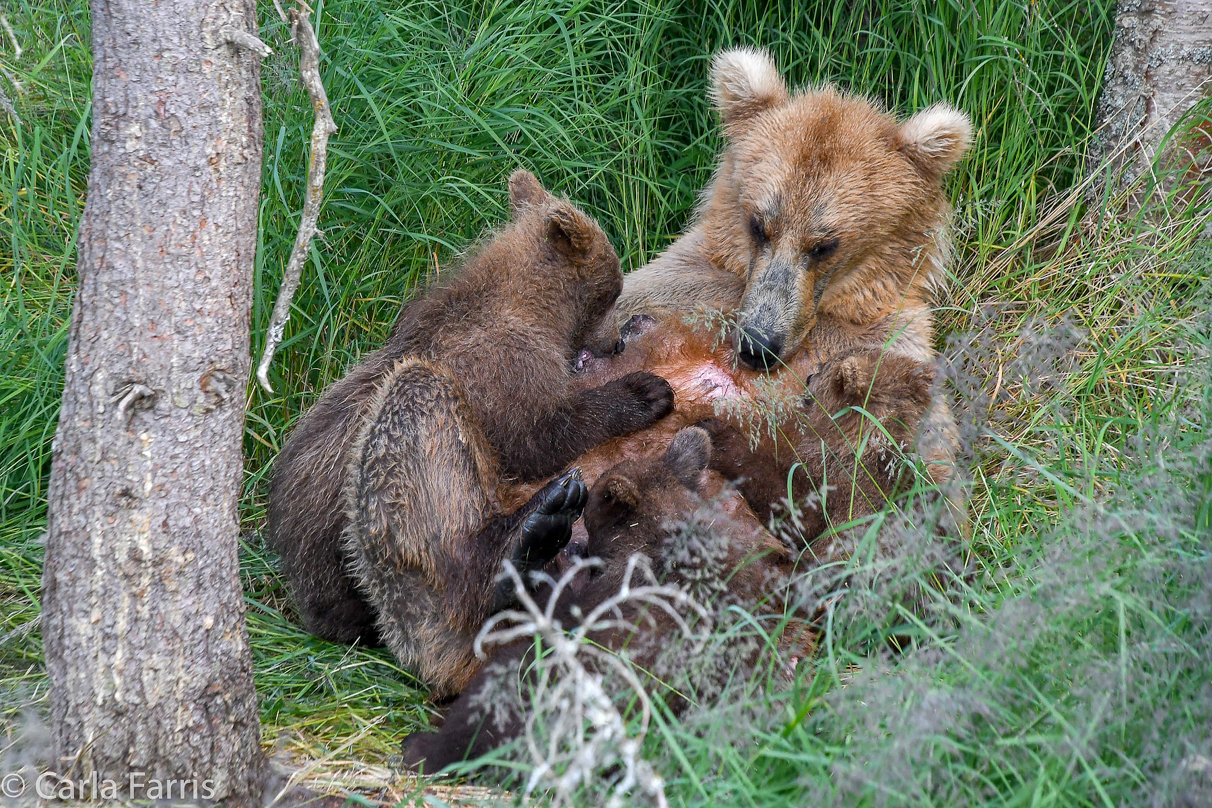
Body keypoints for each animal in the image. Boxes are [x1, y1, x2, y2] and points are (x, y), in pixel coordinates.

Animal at [266, 172, 678, 697]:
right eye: (613, 289)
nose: (618, 341)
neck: (531, 309)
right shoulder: (501, 370)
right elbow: (540, 436)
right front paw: (644, 392)